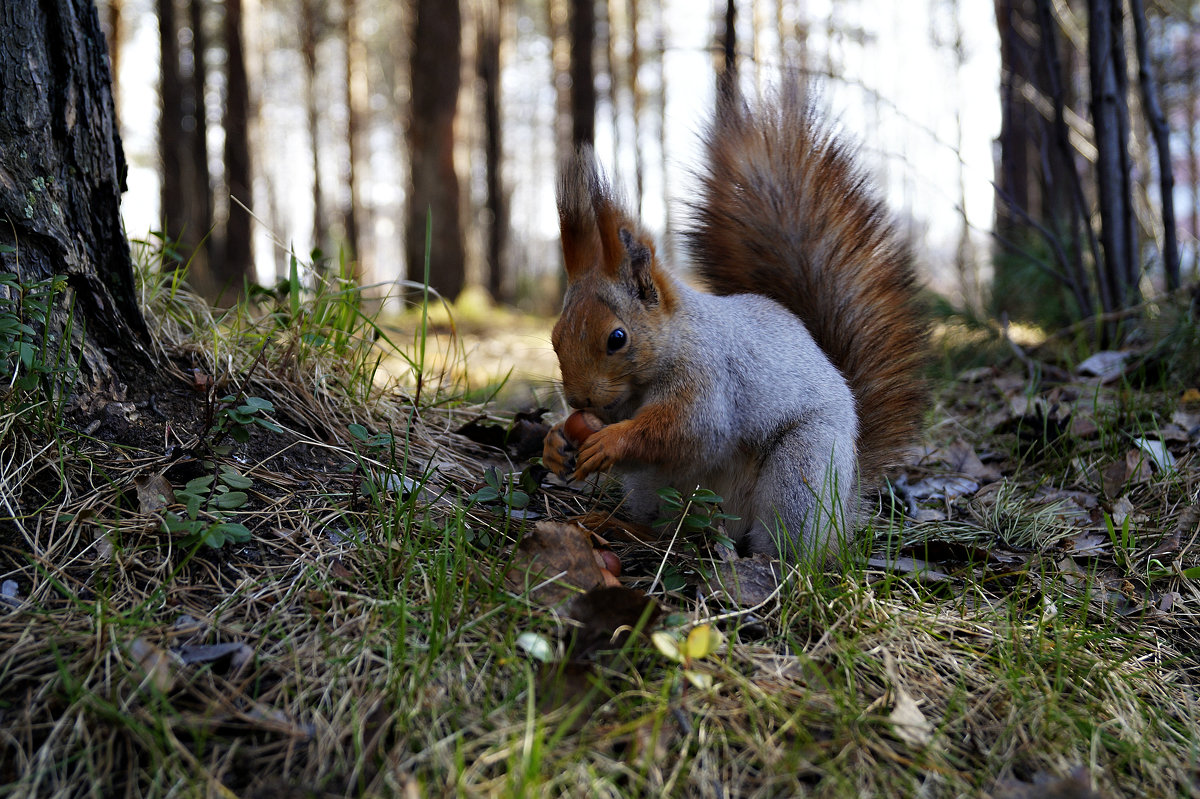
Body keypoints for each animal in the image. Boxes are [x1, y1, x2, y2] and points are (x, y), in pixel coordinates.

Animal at [544, 85, 926, 559]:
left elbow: (690, 432)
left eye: (617, 337)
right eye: (555, 338)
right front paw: (555, 442)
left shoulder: (710, 378)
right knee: (671, 530)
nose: (578, 400)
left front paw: (612, 440)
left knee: (781, 541)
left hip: (801, 471)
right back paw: (623, 527)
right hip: (656, 489)